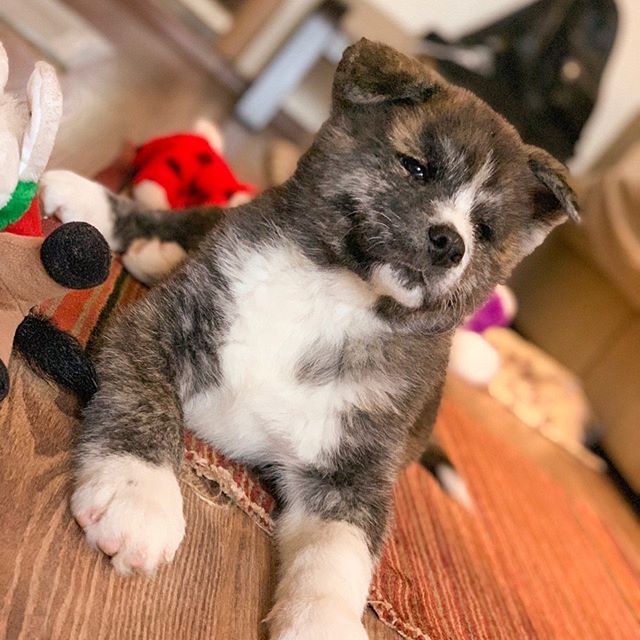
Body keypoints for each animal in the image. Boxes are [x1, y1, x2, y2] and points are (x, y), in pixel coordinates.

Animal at [41, 37, 580, 636]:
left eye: (485, 230)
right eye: (417, 168)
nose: (451, 243)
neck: (333, 295)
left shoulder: (354, 472)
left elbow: (340, 552)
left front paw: (323, 619)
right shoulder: (159, 326)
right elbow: (148, 404)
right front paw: (140, 497)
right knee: (192, 219)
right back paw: (97, 206)